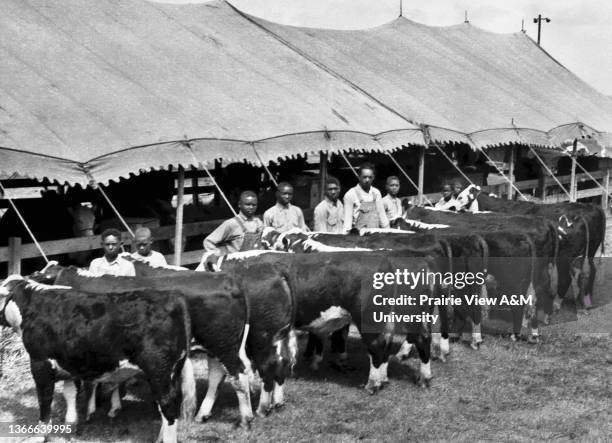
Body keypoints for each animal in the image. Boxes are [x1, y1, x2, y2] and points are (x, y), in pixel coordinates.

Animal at [0, 276, 196, 442]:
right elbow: (70, 392)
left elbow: (44, 400)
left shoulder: (40, 362)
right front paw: (70, 425)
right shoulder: (69, 363)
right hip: (172, 371)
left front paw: (39, 435)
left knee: (168, 407)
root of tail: (172, 296)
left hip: (158, 371)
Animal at [456, 186, 604, 310]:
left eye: (460, 197)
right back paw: (585, 299)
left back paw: (557, 303)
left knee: (566, 277)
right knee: (591, 270)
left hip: (565, 257)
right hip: (589, 252)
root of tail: (592, 208)